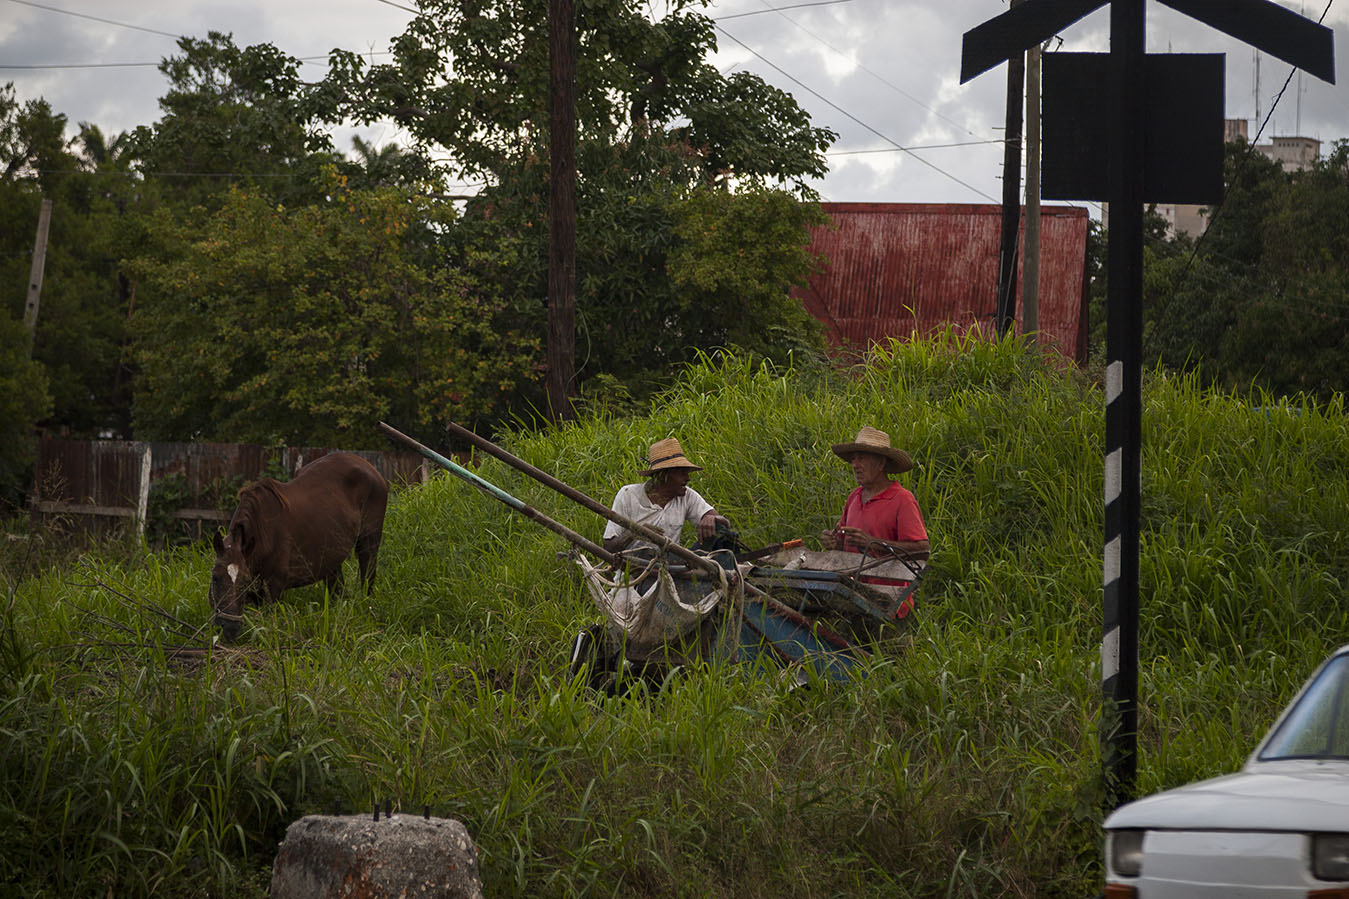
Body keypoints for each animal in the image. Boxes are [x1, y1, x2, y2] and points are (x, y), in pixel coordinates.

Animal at [210, 456, 388, 637]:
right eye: (215, 577)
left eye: (244, 581)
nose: (229, 628)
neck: (263, 532)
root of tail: (370, 467)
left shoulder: (275, 588)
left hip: (369, 543)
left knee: (367, 578)